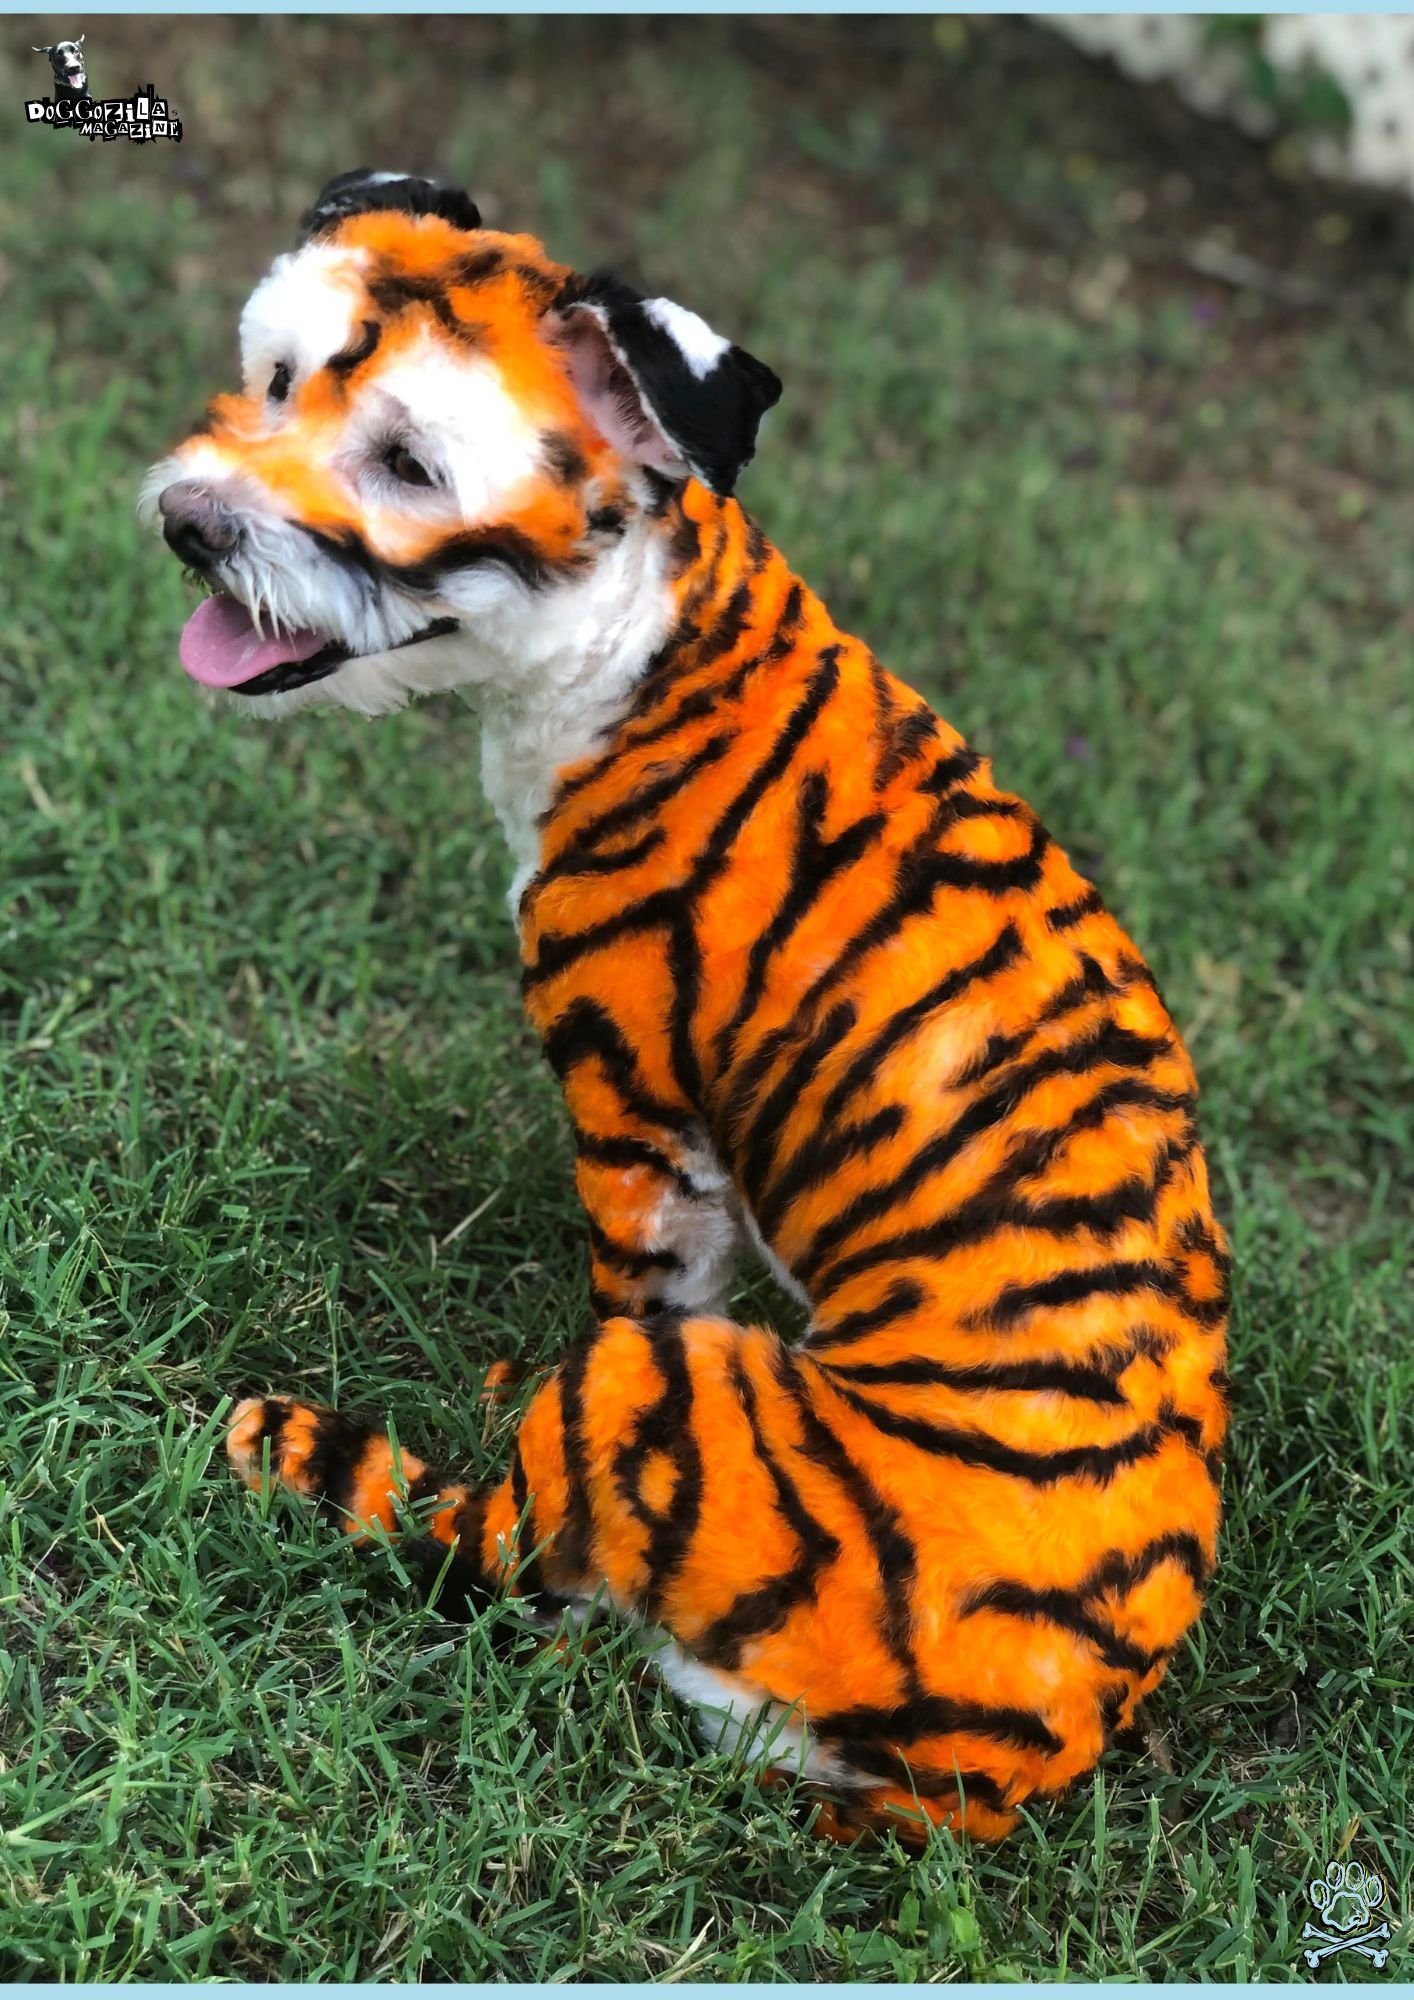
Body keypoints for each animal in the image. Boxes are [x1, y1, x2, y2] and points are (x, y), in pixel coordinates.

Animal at [140, 169, 1230, 1844]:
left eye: (407, 462)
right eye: (273, 376)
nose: (187, 524)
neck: (641, 646)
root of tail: (979, 1778)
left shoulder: (635, 1119)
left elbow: (620, 1302)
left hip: (650, 1394)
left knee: (493, 1543)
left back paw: (312, 1447)